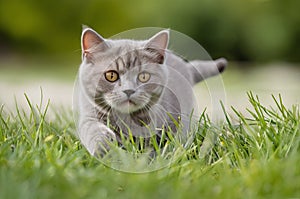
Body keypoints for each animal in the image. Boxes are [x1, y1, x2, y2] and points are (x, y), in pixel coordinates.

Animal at [75, 26, 227, 157]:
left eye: (143, 76)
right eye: (111, 75)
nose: (129, 90)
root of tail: (186, 66)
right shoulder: (89, 114)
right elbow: (92, 129)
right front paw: (102, 148)